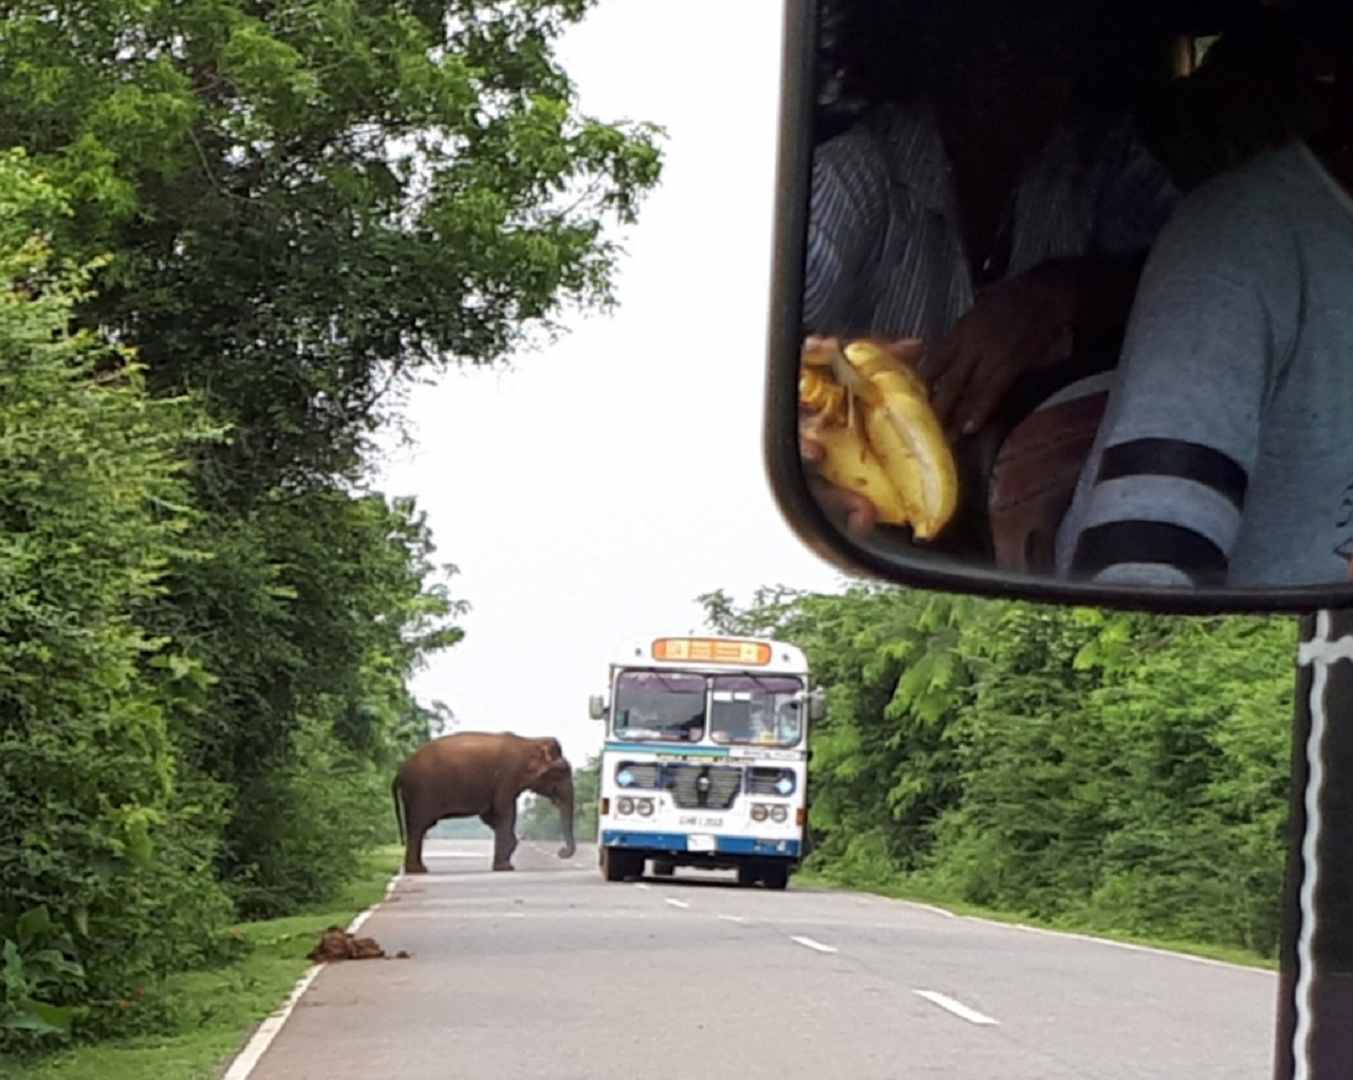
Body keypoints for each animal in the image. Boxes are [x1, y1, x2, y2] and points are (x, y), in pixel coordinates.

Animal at [392, 731, 576, 873]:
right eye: (562, 771)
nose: (561, 852)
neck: (529, 741)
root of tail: (399, 772)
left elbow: (490, 816)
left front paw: (506, 860)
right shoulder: (507, 776)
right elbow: (505, 811)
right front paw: (505, 868)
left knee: (418, 828)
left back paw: (418, 870)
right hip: (419, 792)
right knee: (418, 827)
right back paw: (418, 870)